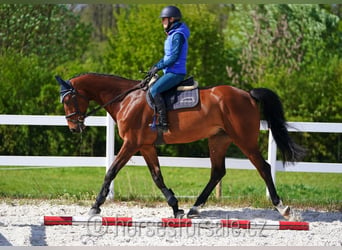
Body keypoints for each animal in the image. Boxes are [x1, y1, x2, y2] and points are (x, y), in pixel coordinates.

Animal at [56, 72, 304, 219]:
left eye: (68, 99)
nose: (74, 127)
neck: (126, 99)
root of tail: (248, 94)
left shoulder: (131, 144)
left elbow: (111, 171)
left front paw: (95, 206)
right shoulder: (145, 146)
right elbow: (157, 177)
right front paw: (175, 207)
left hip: (244, 140)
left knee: (263, 167)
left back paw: (282, 207)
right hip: (218, 139)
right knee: (217, 171)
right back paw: (194, 207)